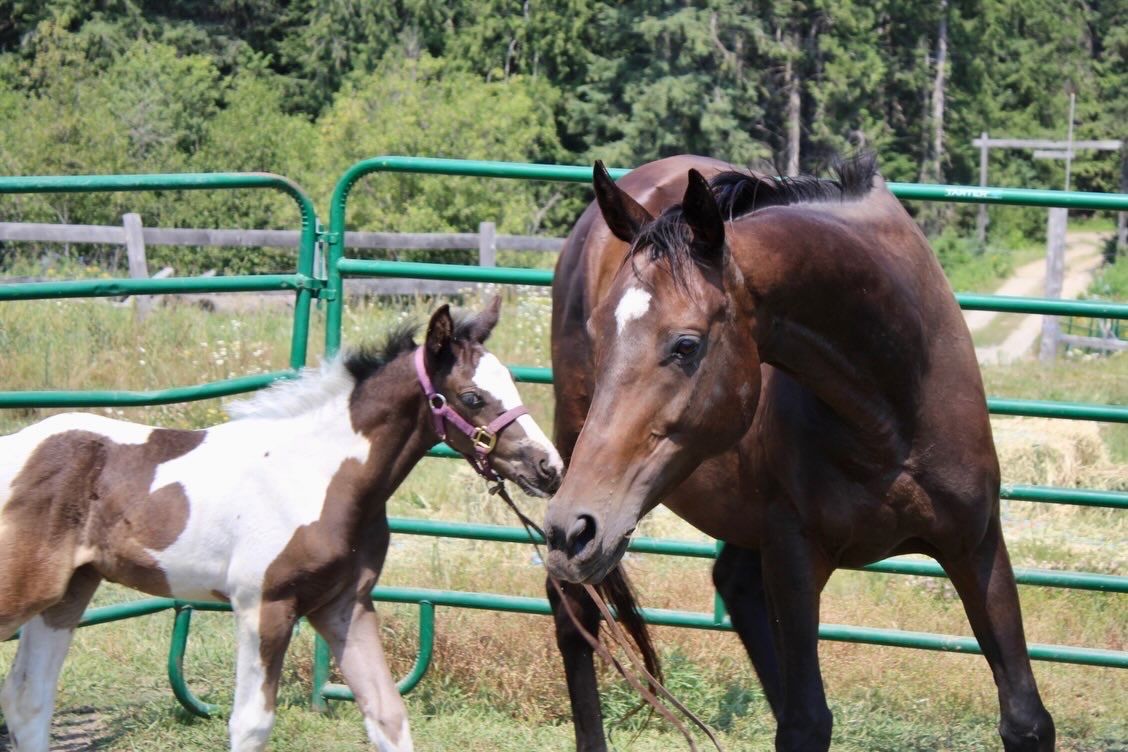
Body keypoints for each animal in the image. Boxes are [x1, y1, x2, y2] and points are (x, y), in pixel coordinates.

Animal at [0, 298, 564, 752]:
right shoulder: (263, 607)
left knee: (29, 699)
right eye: (472, 398)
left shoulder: (344, 606)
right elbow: (250, 725)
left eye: (512, 383)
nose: (549, 467)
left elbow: (388, 715)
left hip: (67, 591)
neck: (316, 473)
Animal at [543, 155, 1055, 751]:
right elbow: (806, 722)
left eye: (686, 345)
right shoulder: (792, 555)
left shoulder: (976, 546)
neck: (894, 404)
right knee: (574, 611)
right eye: (599, 333)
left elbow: (1026, 719)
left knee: (731, 587)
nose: (575, 527)